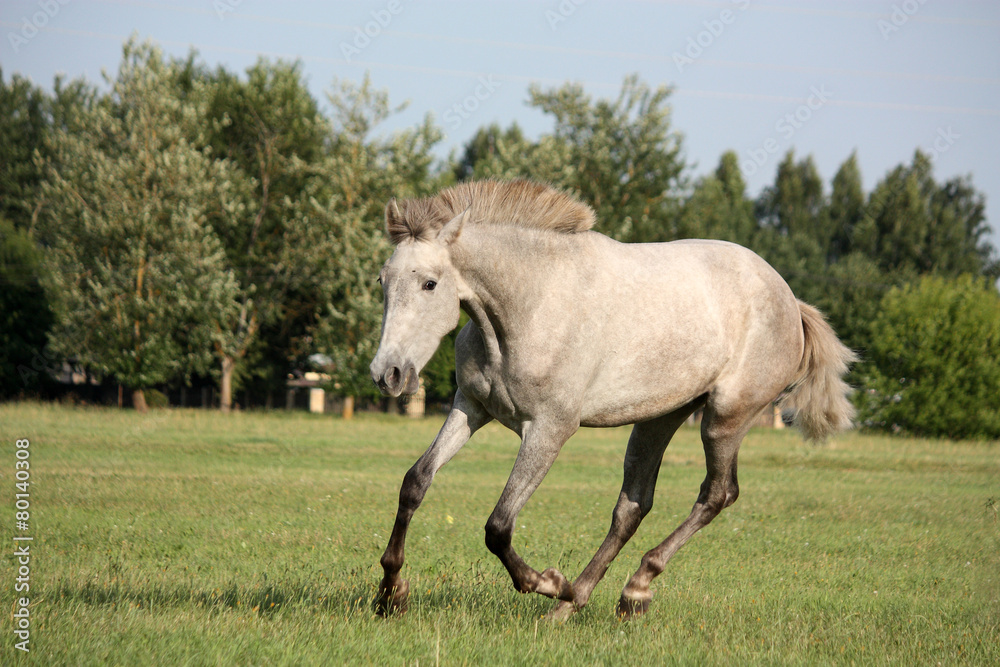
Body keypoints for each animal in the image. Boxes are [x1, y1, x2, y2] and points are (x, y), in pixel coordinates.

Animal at [372, 179, 856, 620]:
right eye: (383, 280)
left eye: (430, 284)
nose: (387, 374)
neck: (530, 305)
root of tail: (791, 301)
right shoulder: (471, 408)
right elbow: (415, 483)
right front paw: (390, 594)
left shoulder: (548, 431)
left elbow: (499, 525)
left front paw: (548, 581)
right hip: (659, 418)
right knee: (633, 506)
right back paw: (582, 602)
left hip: (725, 419)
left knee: (717, 494)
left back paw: (625, 589)